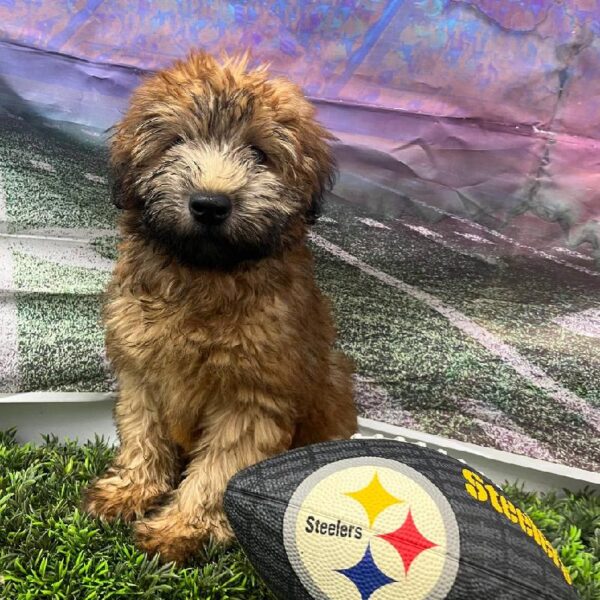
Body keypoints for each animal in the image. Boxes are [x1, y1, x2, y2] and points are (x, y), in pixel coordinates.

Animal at [82, 51, 358, 564]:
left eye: (259, 154)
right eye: (176, 142)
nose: (210, 204)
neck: (204, 278)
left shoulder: (251, 398)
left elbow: (218, 470)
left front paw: (181, 529)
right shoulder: (142, 373)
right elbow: (143, 434)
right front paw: (131, 491)